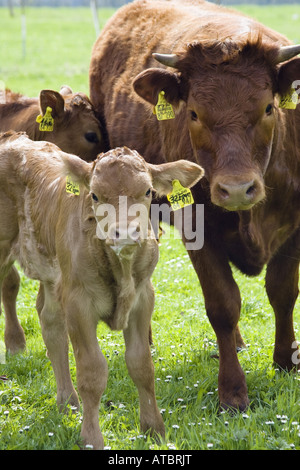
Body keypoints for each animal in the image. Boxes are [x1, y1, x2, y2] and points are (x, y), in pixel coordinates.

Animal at [0, 131, 204, 448]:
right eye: (95, 195)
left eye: (147, 191)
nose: (126, 233)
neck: (120, 271)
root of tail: (13, 138)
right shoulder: (78, 303)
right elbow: (92, 372)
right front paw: (91, 438)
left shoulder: (143, 298)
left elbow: (141, 365)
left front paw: (154, 429)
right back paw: (16, 343)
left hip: (53, 276)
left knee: (50, 323)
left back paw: (67, 401)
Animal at [90, 0, 300, 412]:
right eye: (194, 114)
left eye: (269, 108)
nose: (237, 189)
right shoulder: (197, 230)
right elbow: (222, 304)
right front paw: (233, 392)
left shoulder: (296, 226)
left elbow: (283, 293)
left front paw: (286, 362)